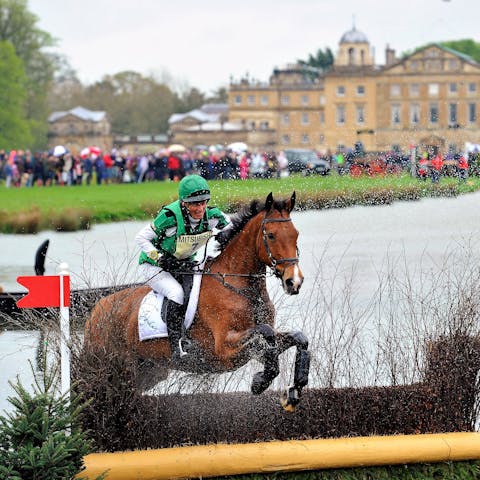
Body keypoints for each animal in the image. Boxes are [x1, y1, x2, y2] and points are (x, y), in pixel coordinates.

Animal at [85, 193, 312, 410]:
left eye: (296, 234)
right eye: (271, 235)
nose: (294, 281)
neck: (241, 289)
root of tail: (96, 311)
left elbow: (297, 338)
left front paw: (294, 389)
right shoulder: (224, 350)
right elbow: (266, 333)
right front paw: (260, 382)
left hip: (148, 371)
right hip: (112, 368)